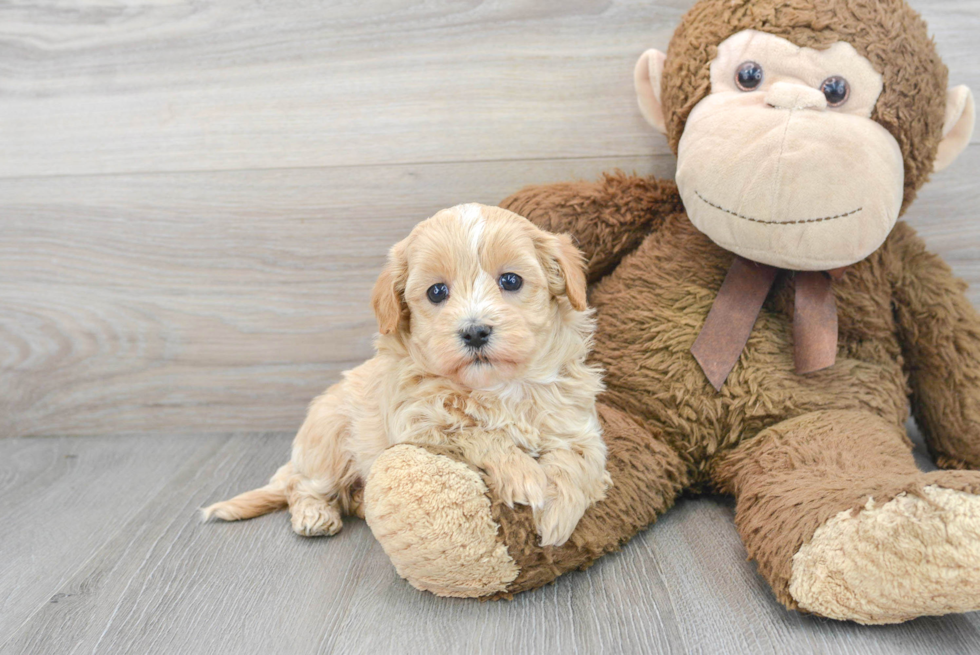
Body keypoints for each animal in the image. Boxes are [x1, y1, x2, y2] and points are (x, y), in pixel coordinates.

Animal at [203, 205, 608, 548]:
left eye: (510, 280)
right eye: (437, 291)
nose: (475, 332)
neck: (497, 387)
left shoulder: (576, 423)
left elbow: (580, 460)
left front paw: (559, 515)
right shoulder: (420, 428)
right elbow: (477, 432)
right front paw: (524, 476)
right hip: (328, 443)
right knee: (299, 485)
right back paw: (314, 514)